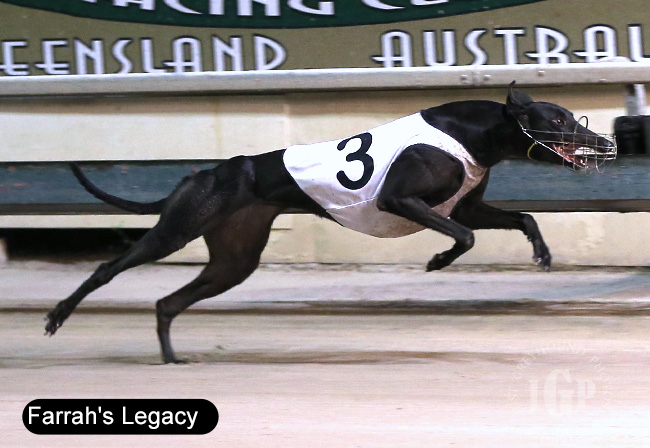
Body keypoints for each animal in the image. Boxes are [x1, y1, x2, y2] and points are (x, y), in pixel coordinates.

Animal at [44, 82, 616, 363]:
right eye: (558, 118)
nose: (605, 141)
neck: (474, 132)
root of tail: (205, 172)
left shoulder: (465, 203)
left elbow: (519, 216)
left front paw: (542, 253)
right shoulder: (400, 199)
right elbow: (464, 236)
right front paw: (438, 259)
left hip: (234, 259)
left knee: (169, 302)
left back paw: (170, 358)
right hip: (176, 230)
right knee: (108, 268)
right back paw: (57, 316)